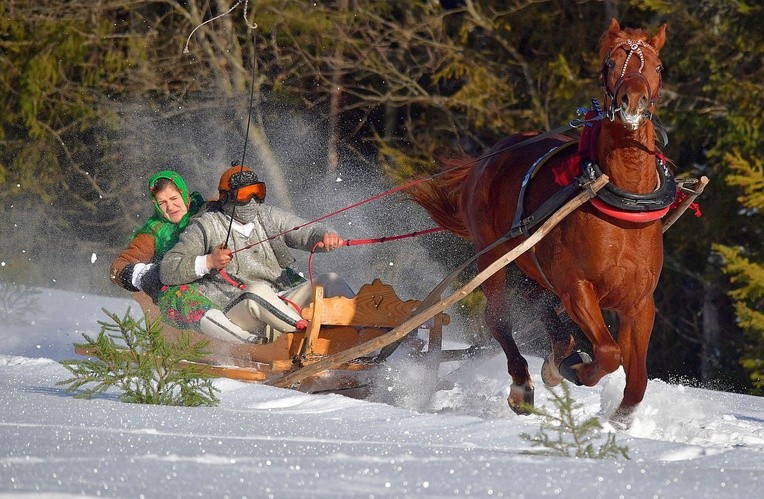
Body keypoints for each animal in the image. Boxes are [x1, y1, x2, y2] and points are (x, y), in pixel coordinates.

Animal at [412, 18, 668, 426]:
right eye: (610, 64)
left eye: (658, 67)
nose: (633, 101)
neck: (622, 210)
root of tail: (489, 156)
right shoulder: (577, 288)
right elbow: (608, 353)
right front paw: (576, 369)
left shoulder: (639, 305)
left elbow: (637, 381)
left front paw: (619, 420)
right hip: (494, 254)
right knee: (498, 318)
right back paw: (524, 384)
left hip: (532, 263)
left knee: (539, 304)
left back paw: (558, 354)